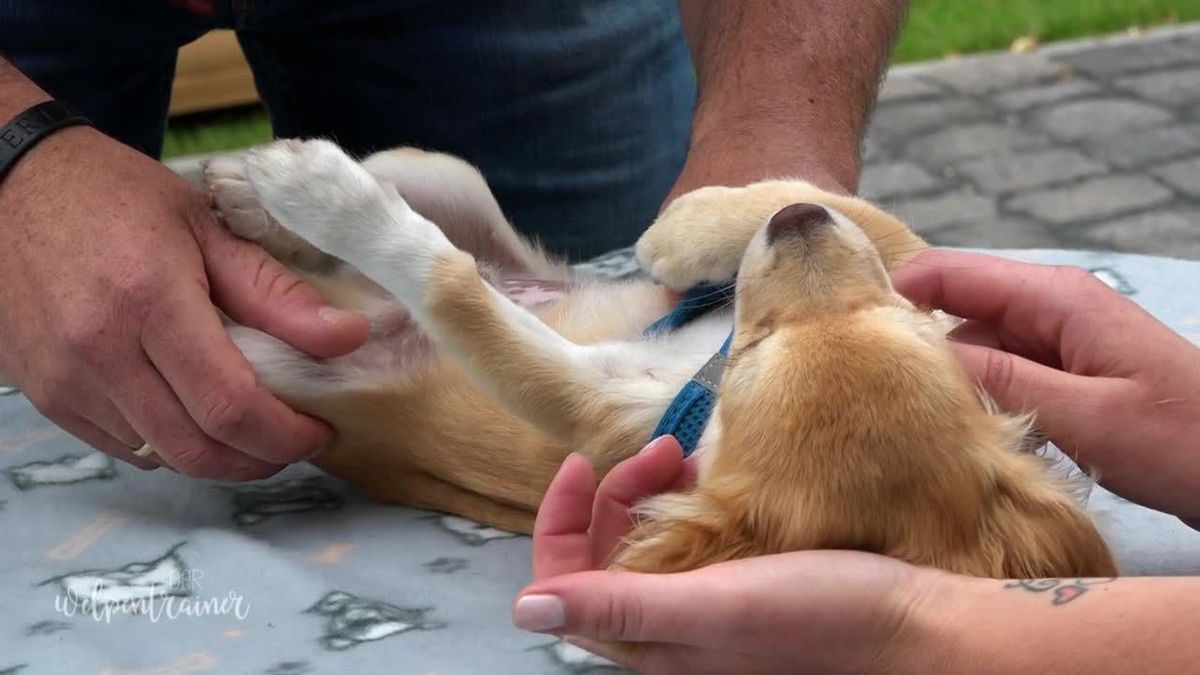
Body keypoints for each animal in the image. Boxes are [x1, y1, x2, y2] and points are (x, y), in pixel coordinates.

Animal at [159, 139, 1123, 576]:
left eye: (752, 355)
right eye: (897, 319)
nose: (796, 229)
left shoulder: (596, 409)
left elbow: (455, 287)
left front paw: (331, 198)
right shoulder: (911, 262)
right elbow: (854, 211)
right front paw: (685, 230)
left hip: (282, 367)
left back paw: (295, 193)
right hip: (448, 174)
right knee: (397, 177)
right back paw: (242, 189)